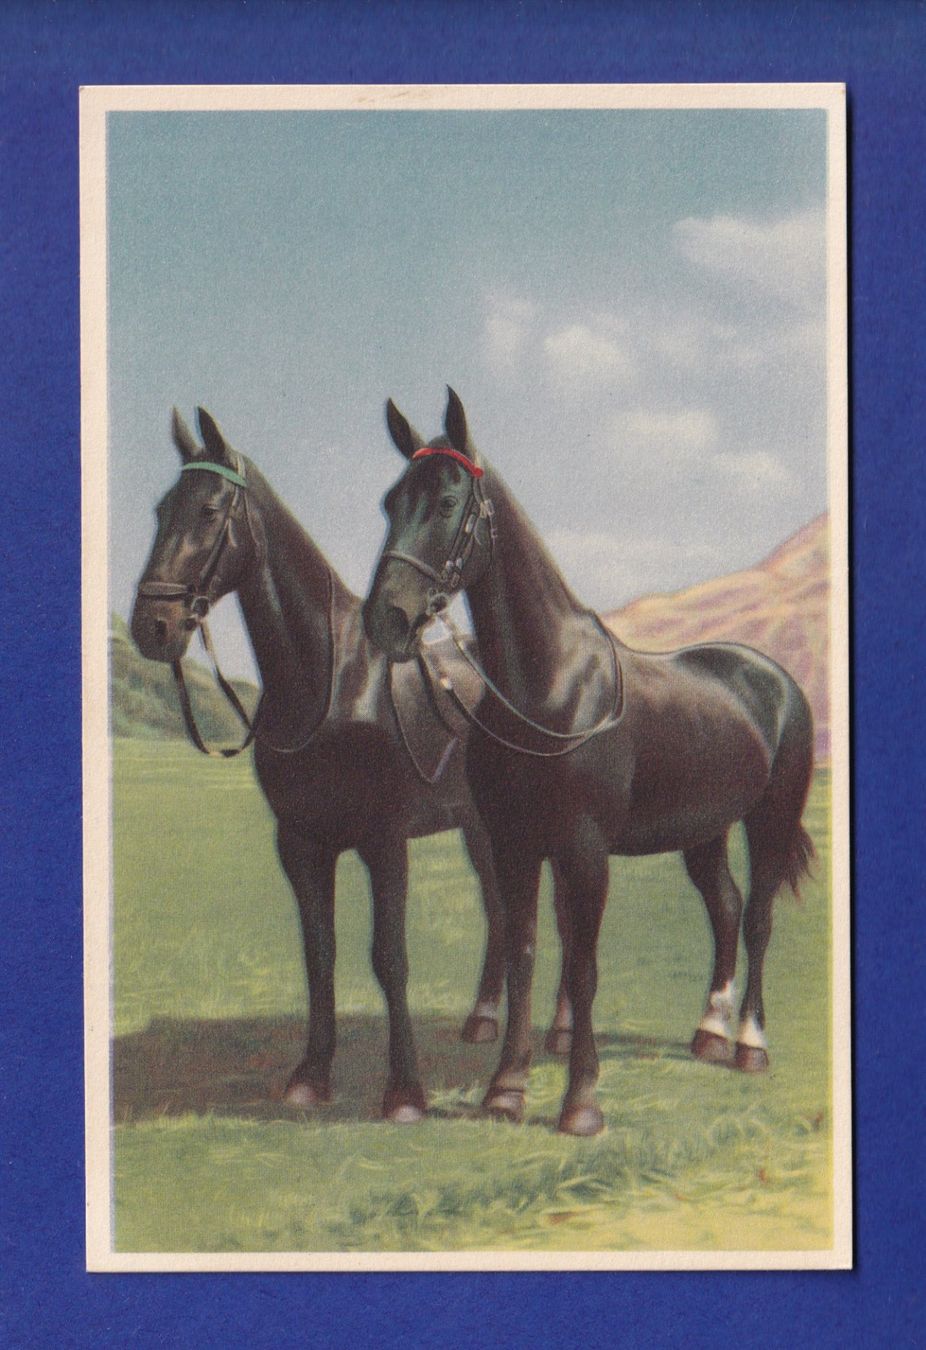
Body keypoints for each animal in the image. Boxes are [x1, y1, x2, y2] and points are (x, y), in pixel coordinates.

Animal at [129, 406, 573, 1122]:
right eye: (162, 508)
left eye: (209, 509)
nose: (153, 625)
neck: (333, 680)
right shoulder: (302, 842)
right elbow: (320, 954)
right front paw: (311, 1075)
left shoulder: (383, 841)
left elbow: (389, 957)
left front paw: (405, 1092)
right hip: (480, 827)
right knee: (500, 908)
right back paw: (482, 1020)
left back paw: (557, 1031)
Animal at [362, 388, 816, 1136]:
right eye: (392, 499)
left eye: (451, 500)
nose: (386, 620)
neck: (550, 689)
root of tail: (774, 680)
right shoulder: (516, 845)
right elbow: (524, 953)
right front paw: (507, 1089)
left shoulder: (584, 851)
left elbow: (583, 967)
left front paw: (580, 1104)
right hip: (704, 829)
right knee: (724, 908)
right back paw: (709, 1032)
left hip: (770, 819)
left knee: (757, 919)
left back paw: (750, 1043)